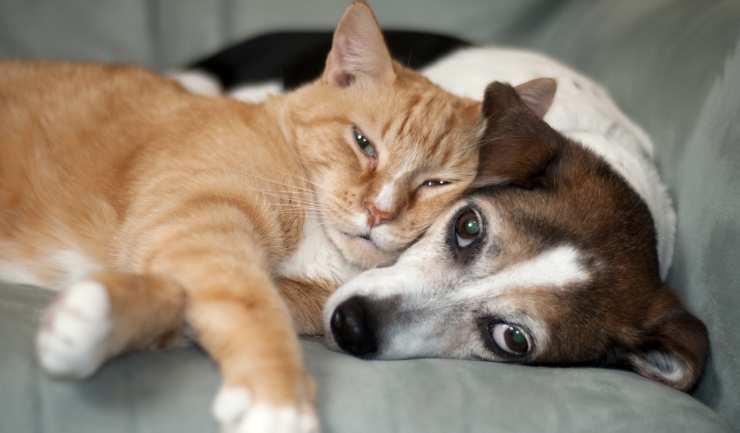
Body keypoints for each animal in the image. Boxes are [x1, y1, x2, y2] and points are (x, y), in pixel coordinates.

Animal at [0, 1, 508, 430]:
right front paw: (277, 399)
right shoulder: (202, 220)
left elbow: (181, 302)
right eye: (363, 143)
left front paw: (92, 321)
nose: (378, 211)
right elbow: (250, 304)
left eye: (435, 183)